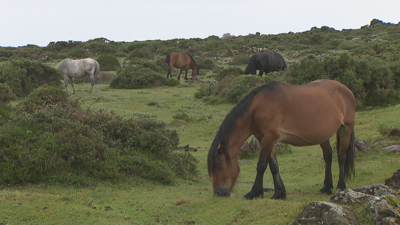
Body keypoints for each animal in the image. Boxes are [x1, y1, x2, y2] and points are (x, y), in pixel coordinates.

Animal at [208, 80, 354, 200]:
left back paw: (341, 187)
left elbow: (261, 165)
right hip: (323, 135)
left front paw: (253, 193)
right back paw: (327, 187)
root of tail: (347, 89)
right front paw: (279, 193)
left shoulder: (269, 137)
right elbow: (273, 166)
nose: (218, 193)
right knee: (328, 155)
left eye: (219, 166)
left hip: (345, 128)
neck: (259, 106)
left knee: (341, 157)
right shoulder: (265, 139)